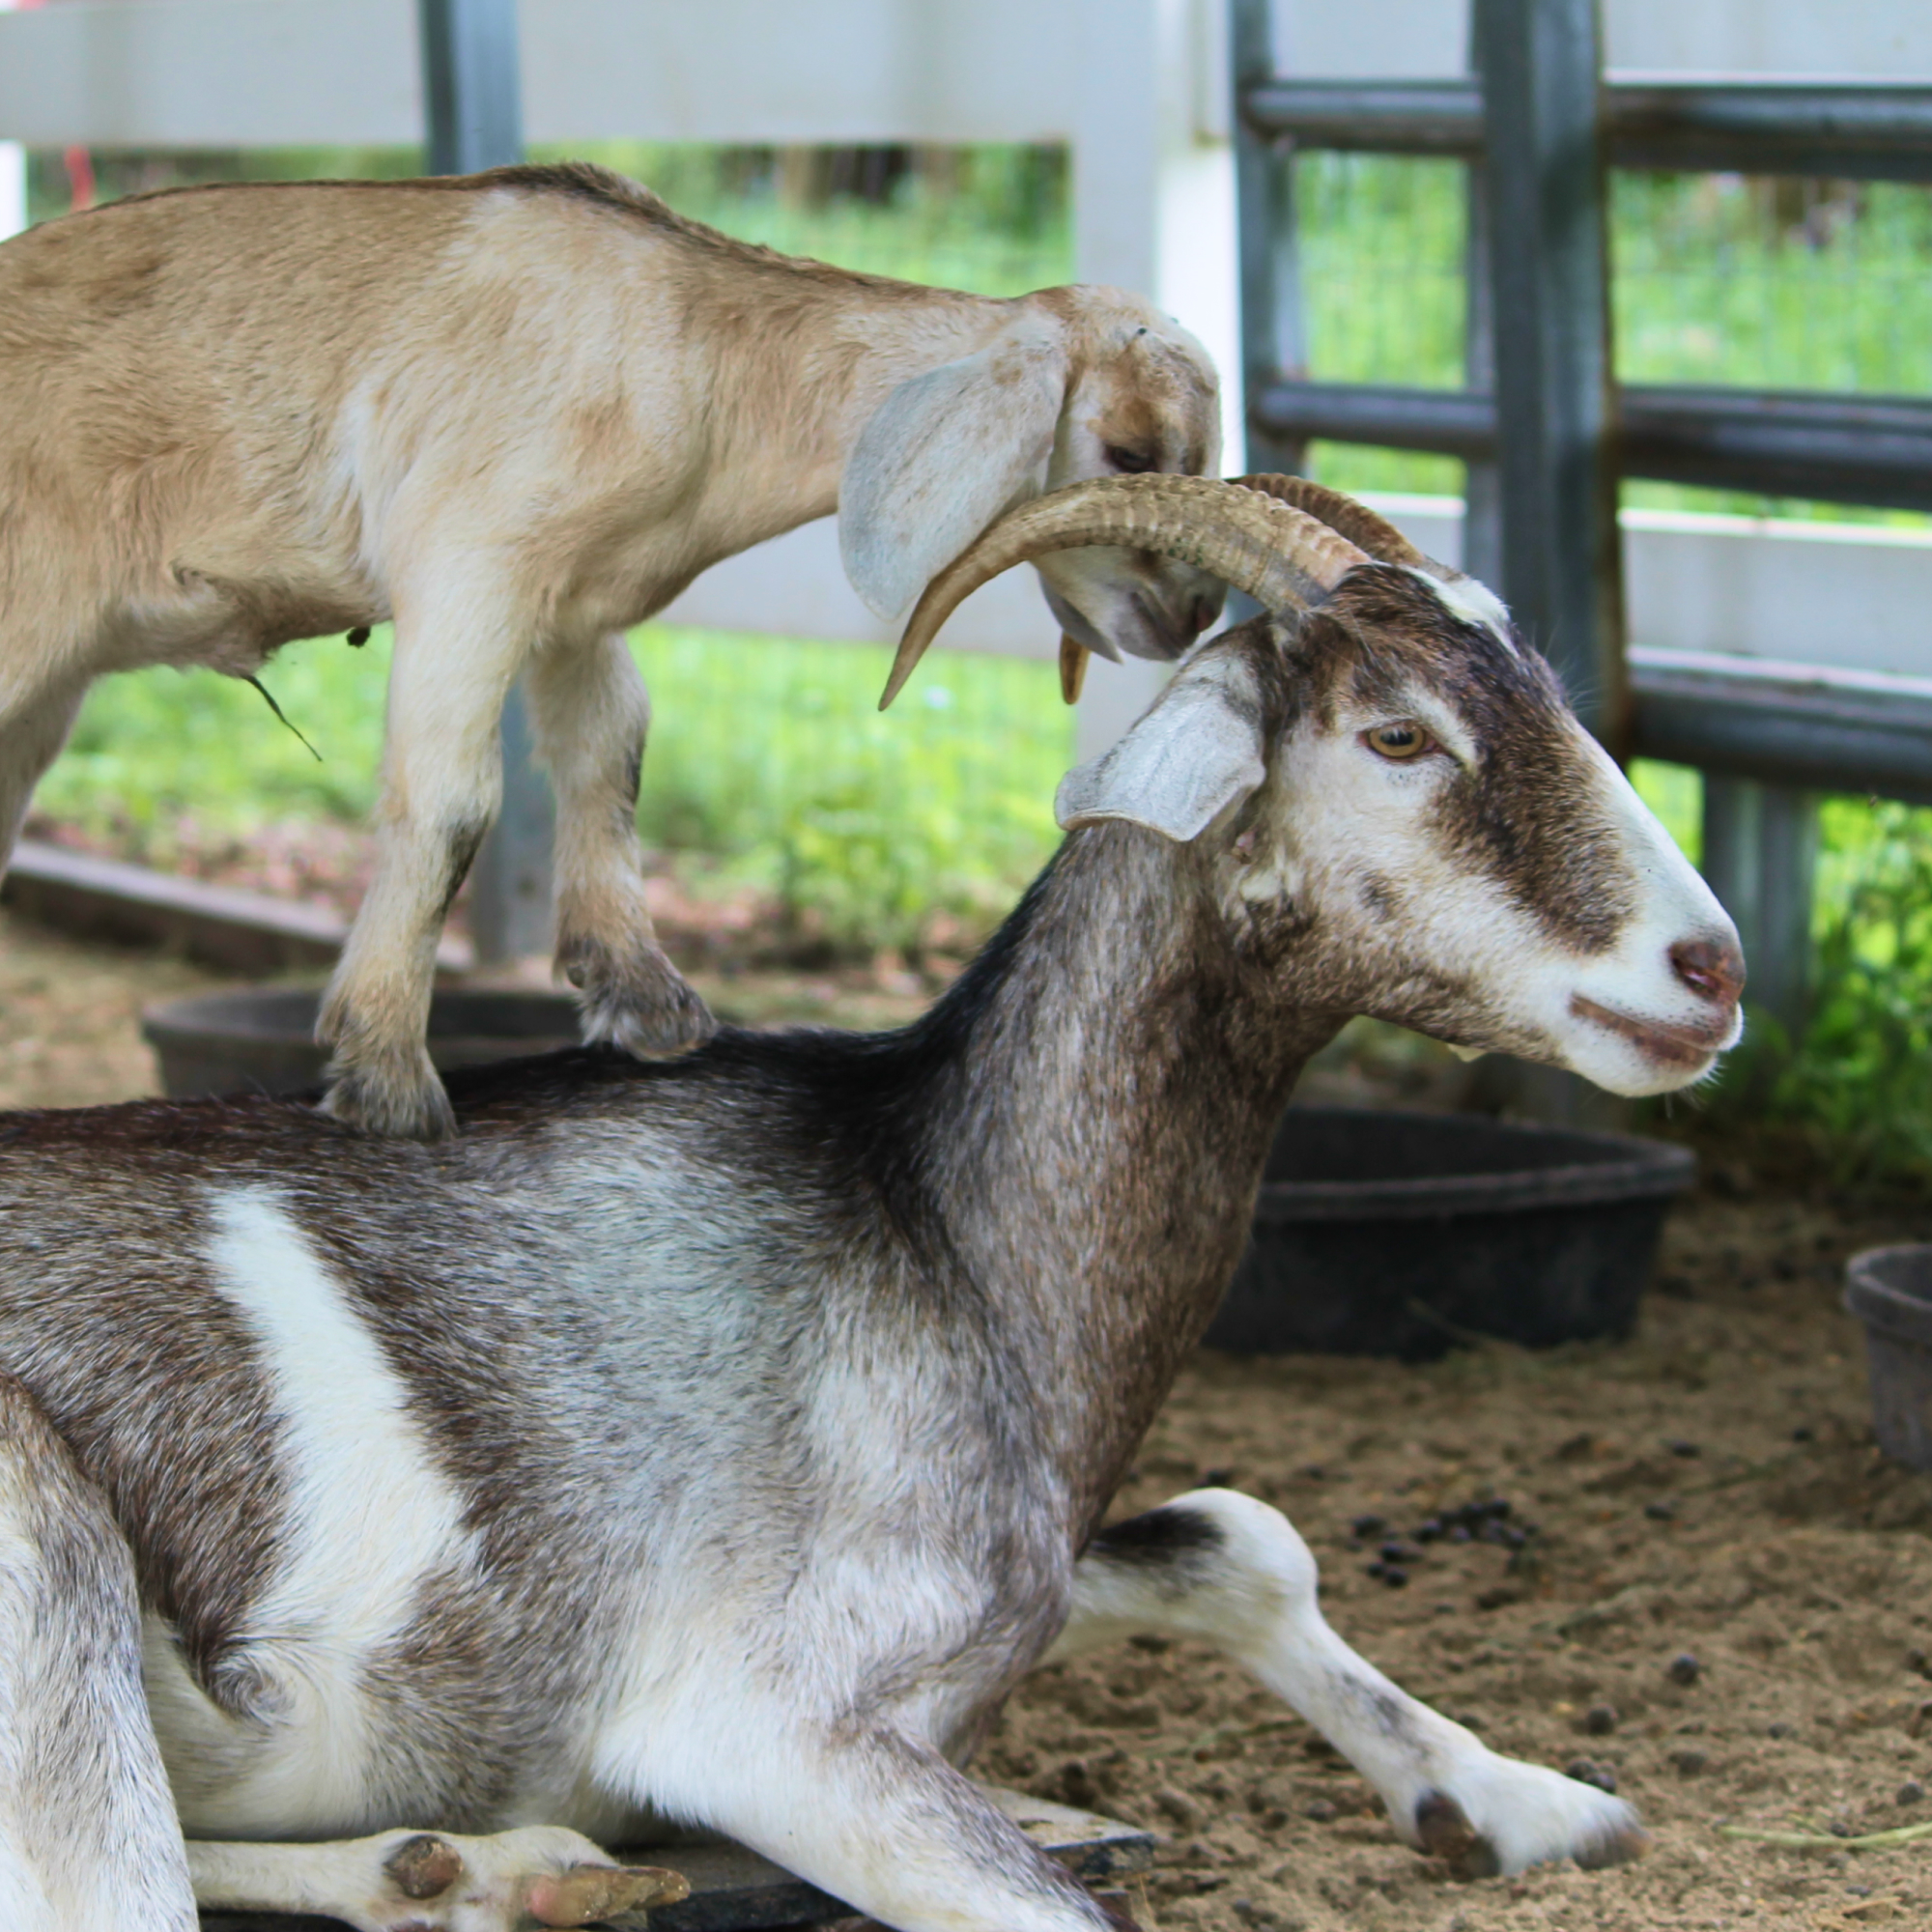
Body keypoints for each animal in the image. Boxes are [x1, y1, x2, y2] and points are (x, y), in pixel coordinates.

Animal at [0, 166, 1221, 1136]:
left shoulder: (578, 601)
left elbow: (611, 755)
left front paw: (644, 1001)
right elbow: (451, 800)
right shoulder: (471, 560)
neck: (701, 349)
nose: (1192, 612)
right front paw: (384, 1071)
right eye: (1125, 450)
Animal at [0, 475, 1747, 1924]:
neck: (934, 1223)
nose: (1708, 970)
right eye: (1397, 736)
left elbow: (1237, 1536)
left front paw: (1526, 1804)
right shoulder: (766, 1723)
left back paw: (467, 1867)